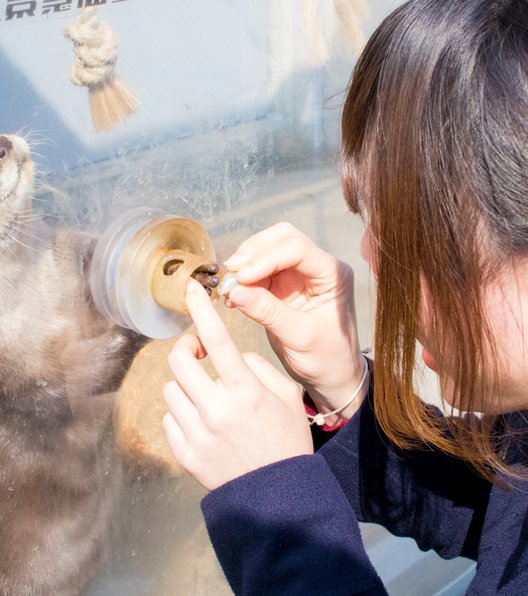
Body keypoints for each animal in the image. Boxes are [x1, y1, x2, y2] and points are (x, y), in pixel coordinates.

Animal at [0, 135, 148, 596]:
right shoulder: (21, 382)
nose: (4, 143)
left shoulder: (63, 254)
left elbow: (91, 257)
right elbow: (75, 388)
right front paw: (131, 324)